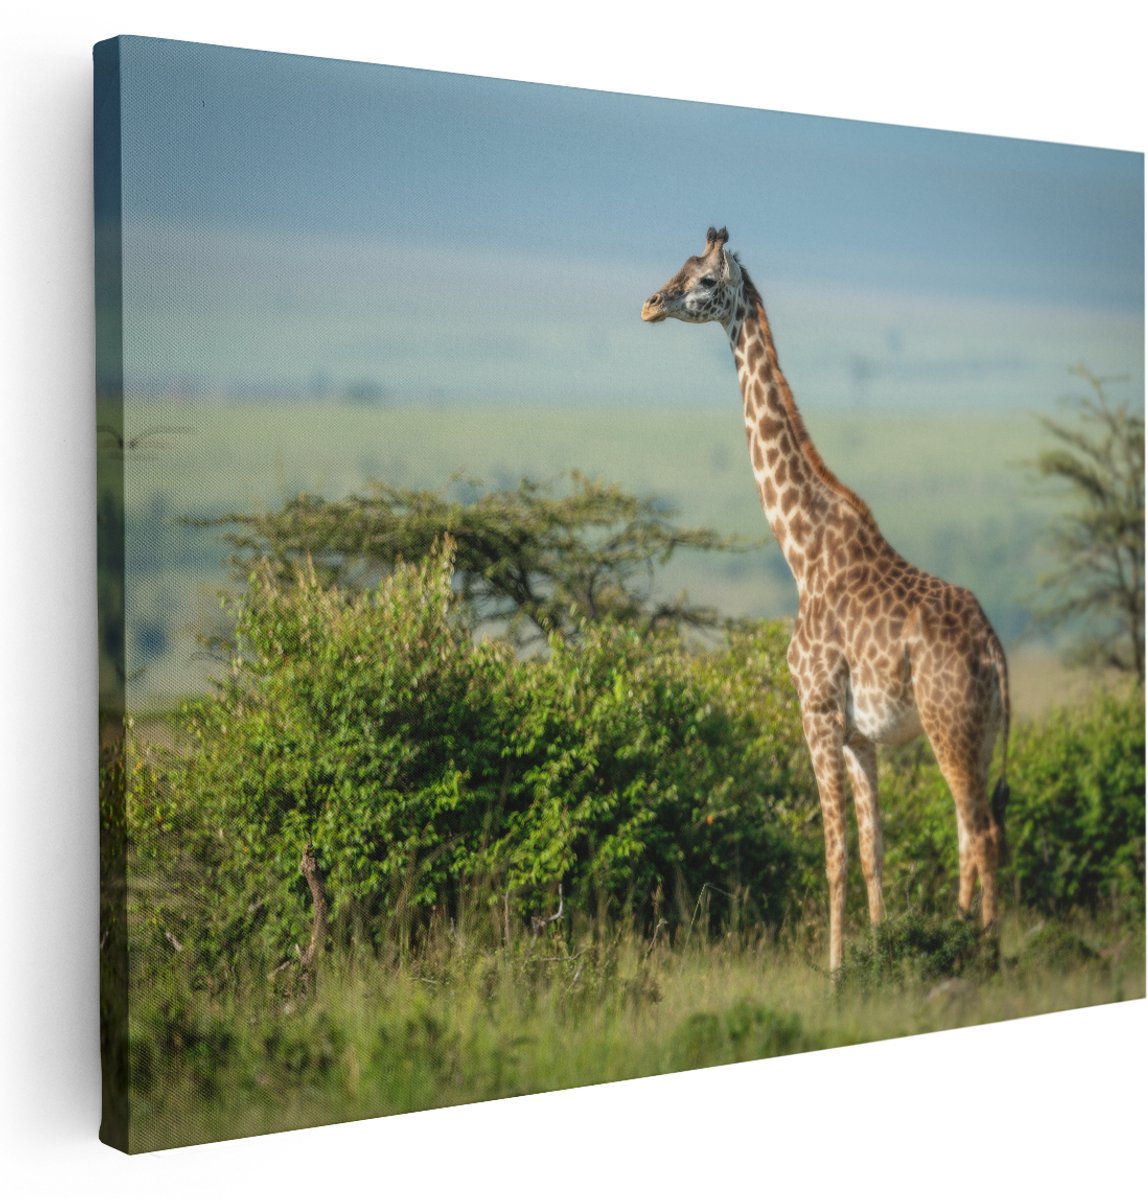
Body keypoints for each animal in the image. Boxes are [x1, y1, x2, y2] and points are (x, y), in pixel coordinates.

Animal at [642, 227, 1010, 976]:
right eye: (679, 269)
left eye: (703, 282)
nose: (650, 304)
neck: (801, 551)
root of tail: (995, 651)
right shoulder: (859, 735)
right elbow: (871, 854)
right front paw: (879, 954)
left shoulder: (814, 709)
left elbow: (833, 853)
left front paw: (836, 972)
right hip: (978, 732)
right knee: (971, 832)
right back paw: (964, 938)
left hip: (949, 725)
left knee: (981, 832)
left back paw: (985, 956)